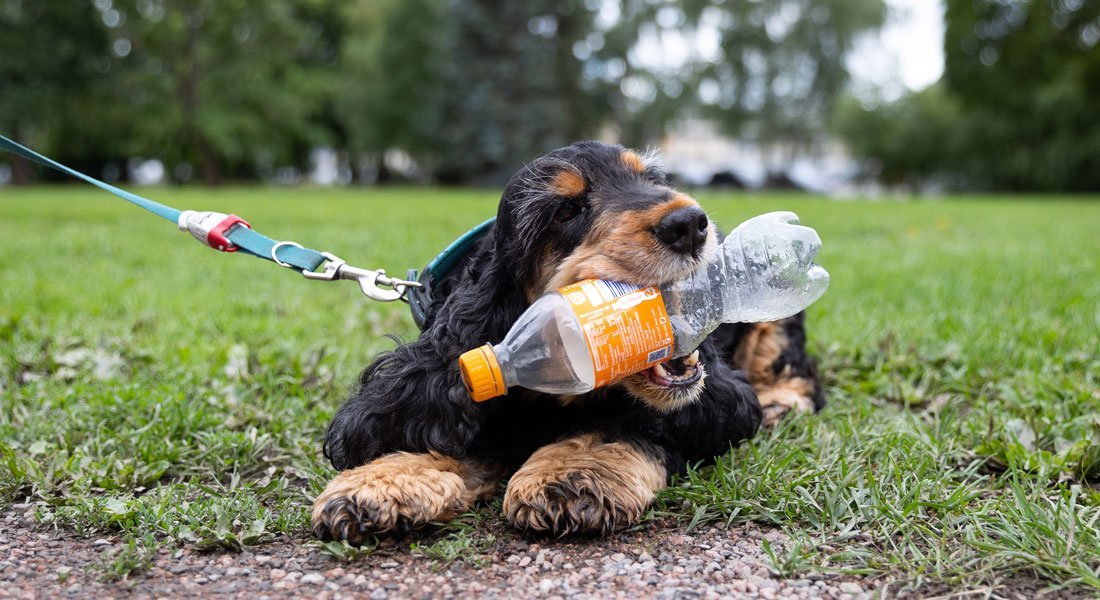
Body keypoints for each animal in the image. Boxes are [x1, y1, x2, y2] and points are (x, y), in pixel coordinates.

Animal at [308, 142, 818, 541]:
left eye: (652, 180)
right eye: (565, 210)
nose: (690, 223)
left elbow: (615, 424)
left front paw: (571, 475)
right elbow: (439, 425)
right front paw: (378, 483)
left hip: (777, 316)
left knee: (797, 374)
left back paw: (779, 404)